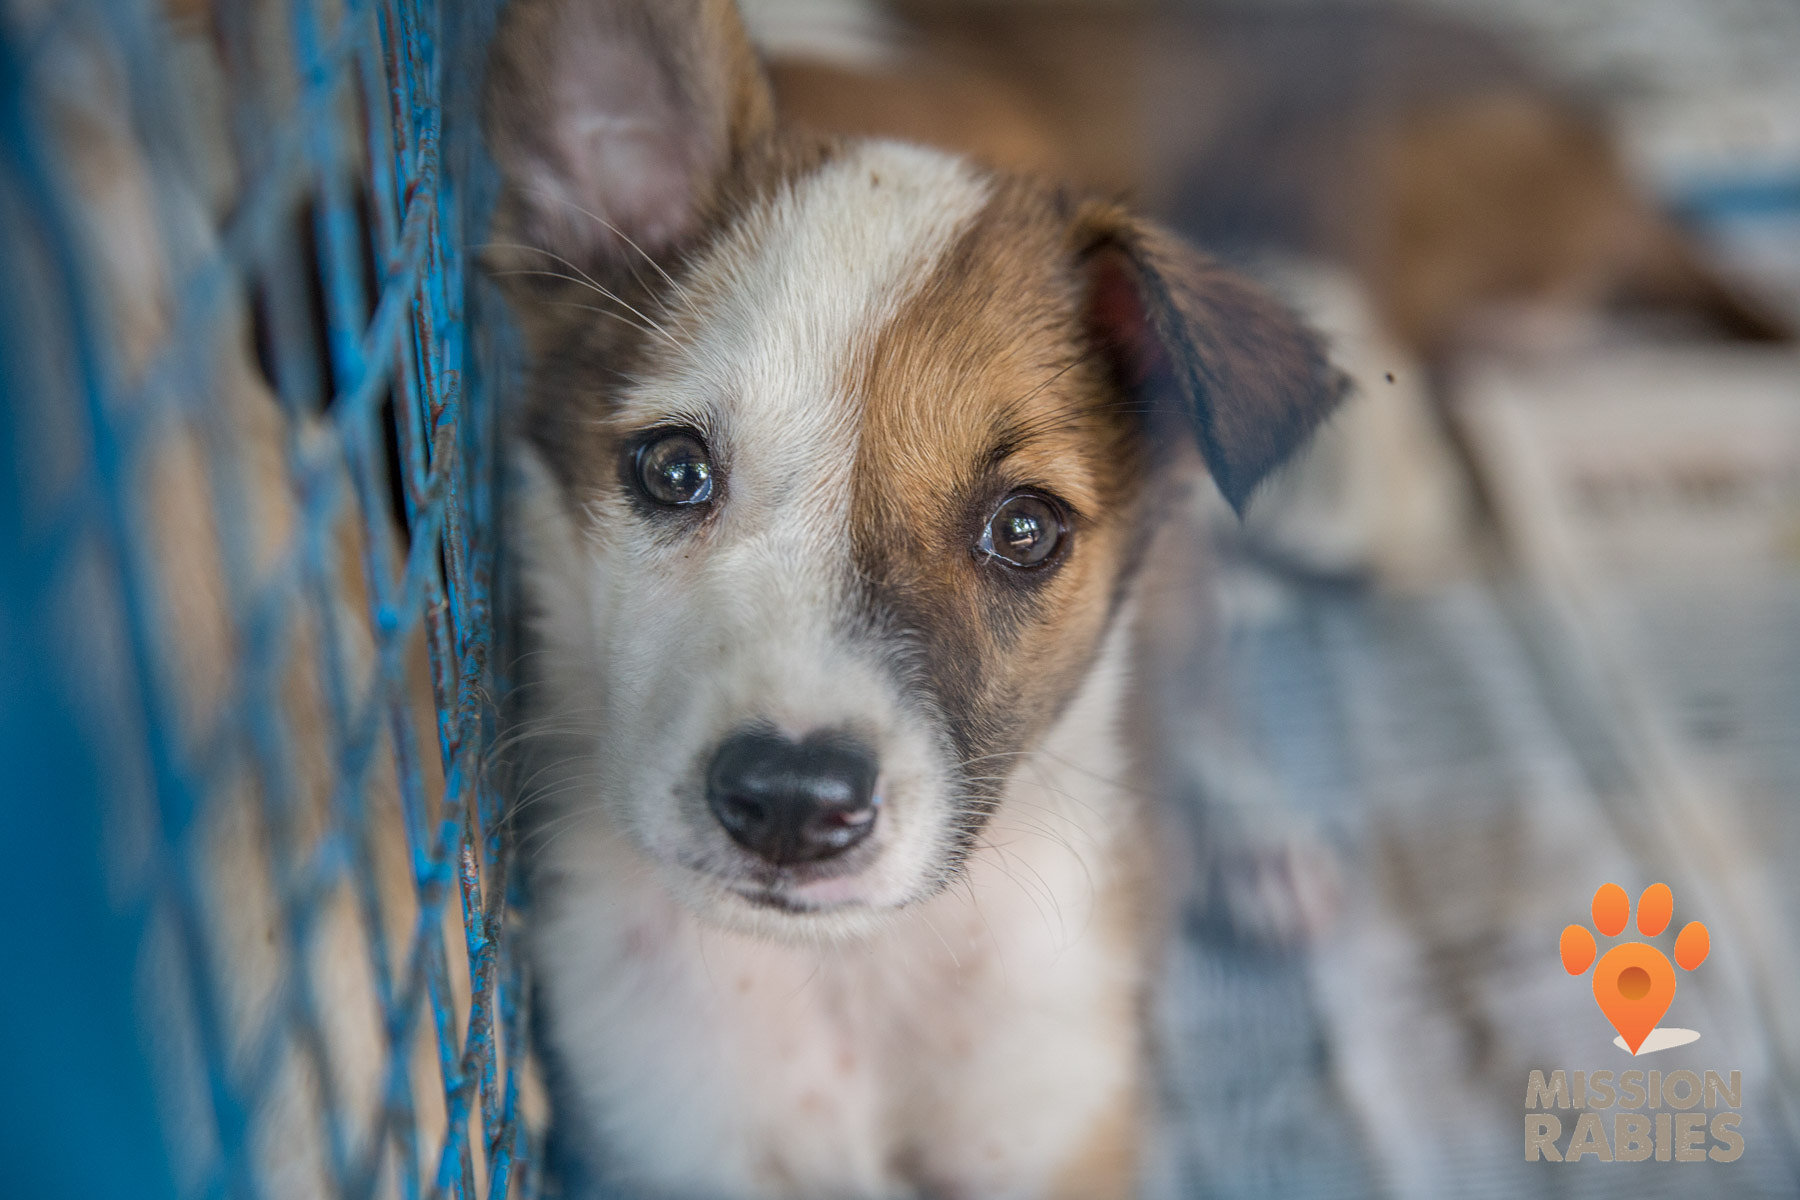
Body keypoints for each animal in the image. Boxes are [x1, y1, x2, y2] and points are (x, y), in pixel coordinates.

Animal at [486, 4, 1346, 1194]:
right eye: (673, 470)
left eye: (1023, 531)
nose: (791, 804)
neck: (851, 973)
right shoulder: (666, 1141)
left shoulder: (1057, 1126)